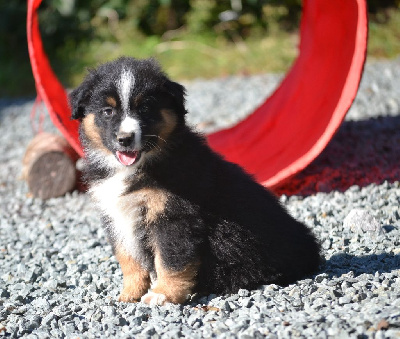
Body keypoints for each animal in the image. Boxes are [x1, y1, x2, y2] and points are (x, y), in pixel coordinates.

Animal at [69, 57, 322, 306]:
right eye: (107, 111)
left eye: (145, 108)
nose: (125, 139)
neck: (135, 168)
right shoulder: (116, 216)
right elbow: (128, 257)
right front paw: (129, 294)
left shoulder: (174, 215)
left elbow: (170, 260)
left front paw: (163, 294)